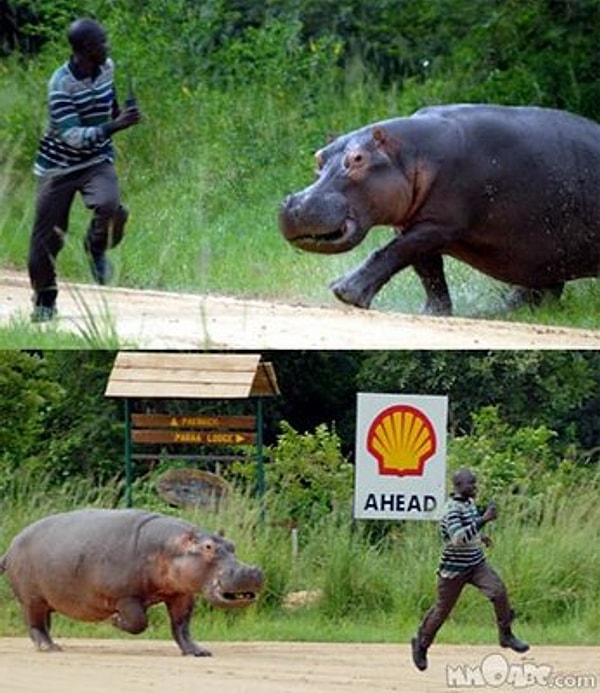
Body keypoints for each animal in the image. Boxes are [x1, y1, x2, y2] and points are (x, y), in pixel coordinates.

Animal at [0, 508, 262, 656]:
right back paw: (50, 648)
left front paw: (198, 652)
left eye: (232, 545)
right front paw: (115, 621)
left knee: (43, 624)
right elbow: (139, 622)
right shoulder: (125, 597)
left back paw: (48, 644)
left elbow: (182, 626)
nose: (251, 570)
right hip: (32, 599)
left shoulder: (181, 594)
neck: (169, 547)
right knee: (35, 624)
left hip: (46, 600)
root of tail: (11, 545)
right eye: (208, 547)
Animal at [278, 103, 600, 314]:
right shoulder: (415, 224)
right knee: (543, 288)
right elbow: (427, 270)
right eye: (319, 157)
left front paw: (345, 292)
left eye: (358, 159)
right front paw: (433, 313)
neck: (411, 154)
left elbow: (393, 252)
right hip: (546, 254)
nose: (296, 205)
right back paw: (501, 310)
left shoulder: (438, 225)